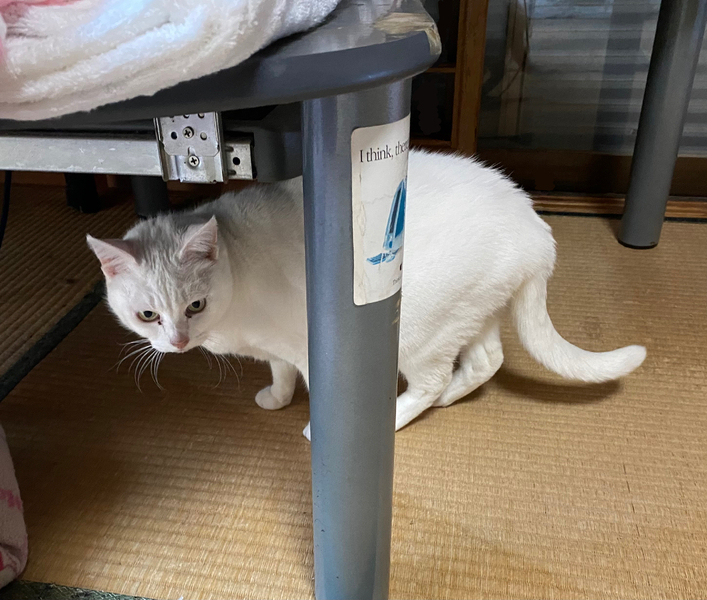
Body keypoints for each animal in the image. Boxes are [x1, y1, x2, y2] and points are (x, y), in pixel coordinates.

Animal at [87, 149, 646, 437]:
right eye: (147, 316)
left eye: (194, 306)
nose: (178, 343)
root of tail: (536, 230)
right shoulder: (277, 349)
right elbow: (281, 374)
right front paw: (276, 400)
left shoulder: (310, 348)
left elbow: (312, 386)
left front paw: (317, 429)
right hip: (468, 314)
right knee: (487, 359)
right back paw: (451, 397)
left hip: (418, 332)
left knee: (431, 380)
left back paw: (400, 413)